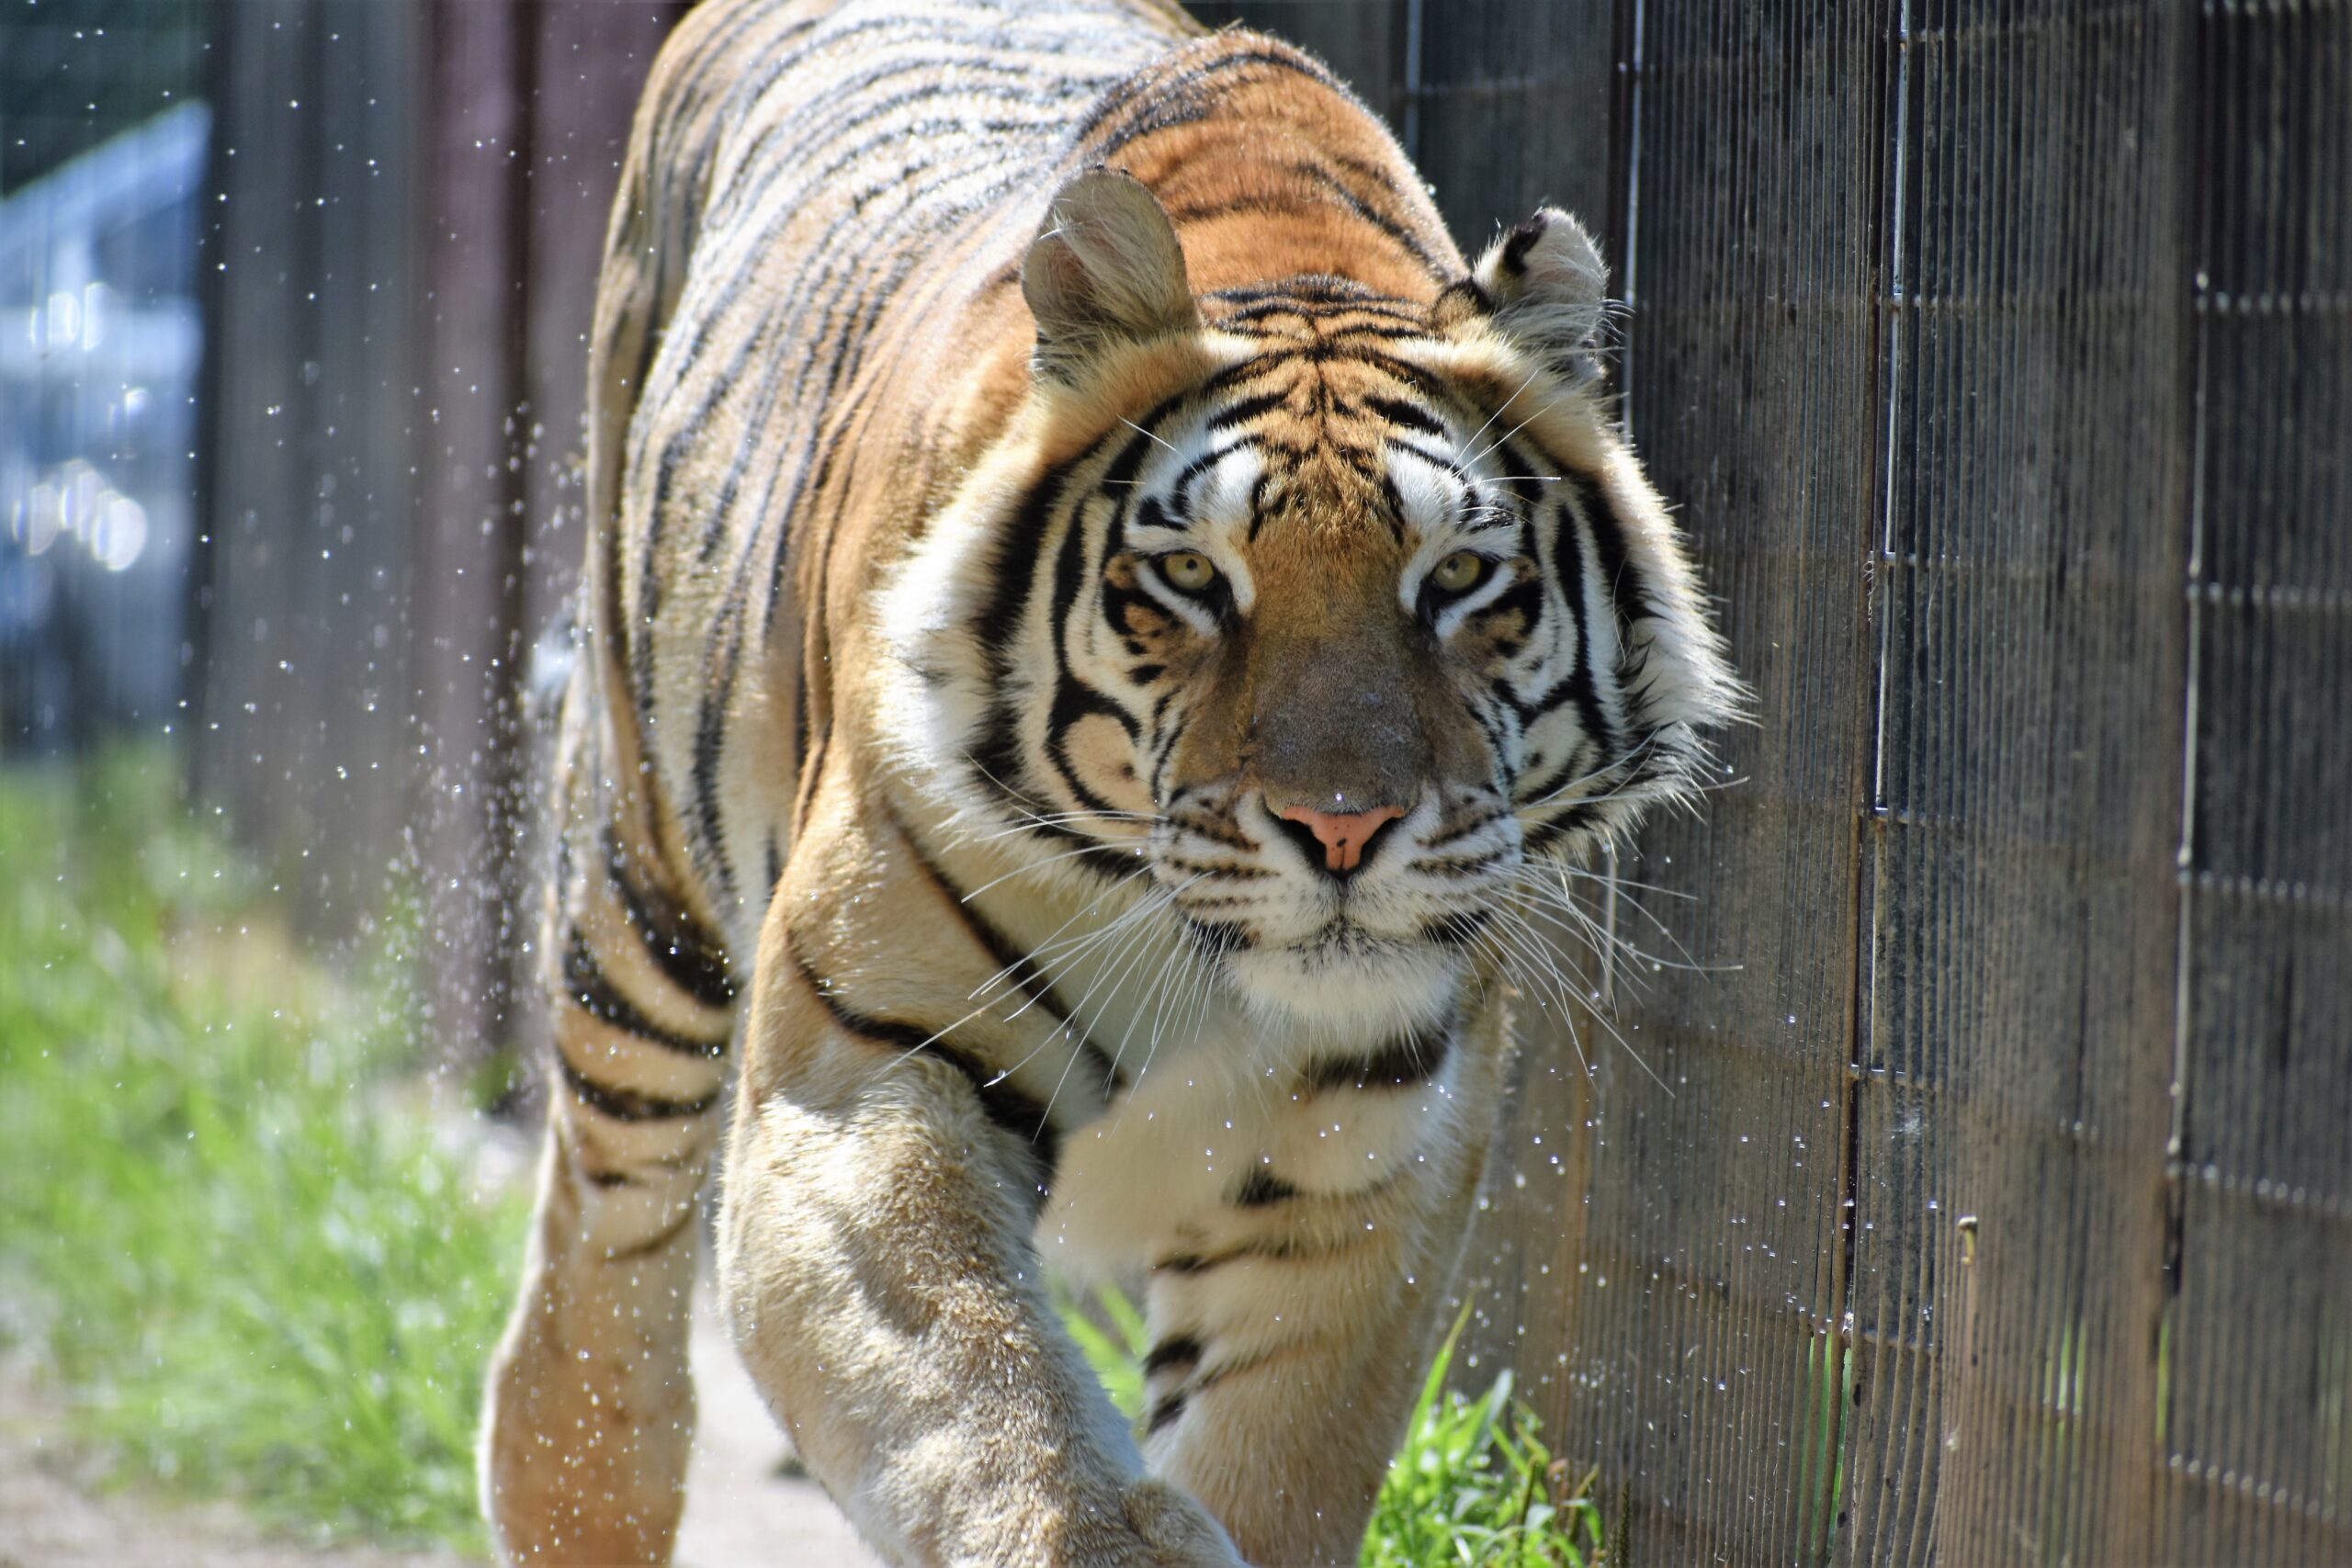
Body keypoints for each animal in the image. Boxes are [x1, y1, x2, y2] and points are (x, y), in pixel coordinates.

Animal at [477, 0, 1731, 1561]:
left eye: (1456, 581)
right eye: (1192, 577)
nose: (1344, 827)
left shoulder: (1369, 1170)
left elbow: (1275, 1465)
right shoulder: (863, 1070)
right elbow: (993, 1407)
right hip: (638, 879)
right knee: (607, 1230)